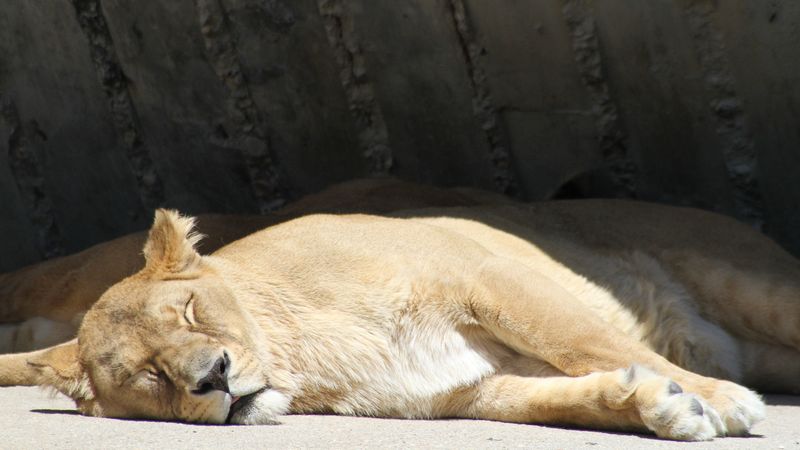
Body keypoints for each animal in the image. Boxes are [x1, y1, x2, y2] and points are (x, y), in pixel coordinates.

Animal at [5, 198, 800, 440]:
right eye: (150, 375)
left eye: (190, 311)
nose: (215, 377)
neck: (304, 353)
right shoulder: (466, 389)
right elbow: (569, 397)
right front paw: (658, 405)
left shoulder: (489, 275)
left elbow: (582, 341)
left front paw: (722, 401)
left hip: (755, 287)